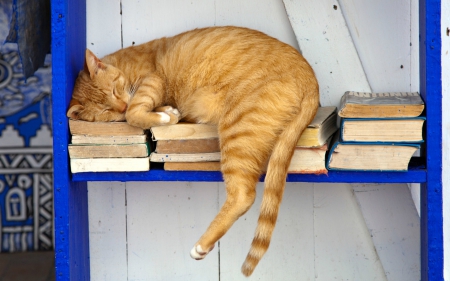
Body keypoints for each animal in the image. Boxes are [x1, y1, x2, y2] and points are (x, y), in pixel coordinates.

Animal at [67, 25, 320, 274]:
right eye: (106, 111)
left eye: (114, 90)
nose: (120, 106)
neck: (124, 65)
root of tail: (311, 81)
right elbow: (150, 112)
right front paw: (167, 113)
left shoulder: (152, 79)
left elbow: (135, 112)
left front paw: (159, 115)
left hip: (238, 131)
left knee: (243, 195)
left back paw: (202, 246)